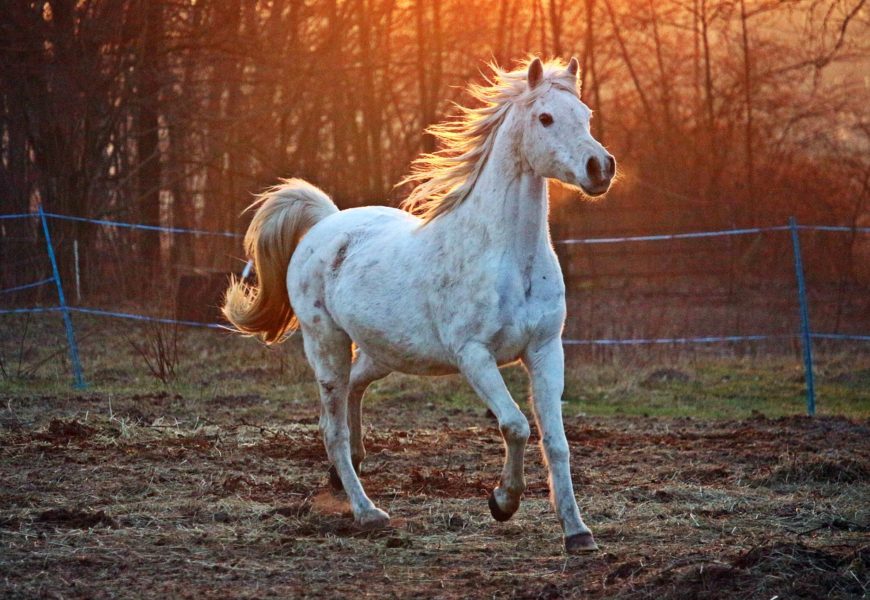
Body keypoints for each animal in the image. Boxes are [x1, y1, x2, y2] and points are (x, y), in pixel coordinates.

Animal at [227, 57, 620, 552]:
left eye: (585, 115)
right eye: (545, 118)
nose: (600, 167)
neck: (509, 257)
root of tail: (325, 223)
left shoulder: (546, 350)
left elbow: (556, 441)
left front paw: (577, 532)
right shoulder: (474, 356)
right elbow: (515, 425)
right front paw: (502, 502)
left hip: (383, 352)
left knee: (354, 392)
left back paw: (346, 473)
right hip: (327, 345)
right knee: (331, 428)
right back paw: (367, 511)